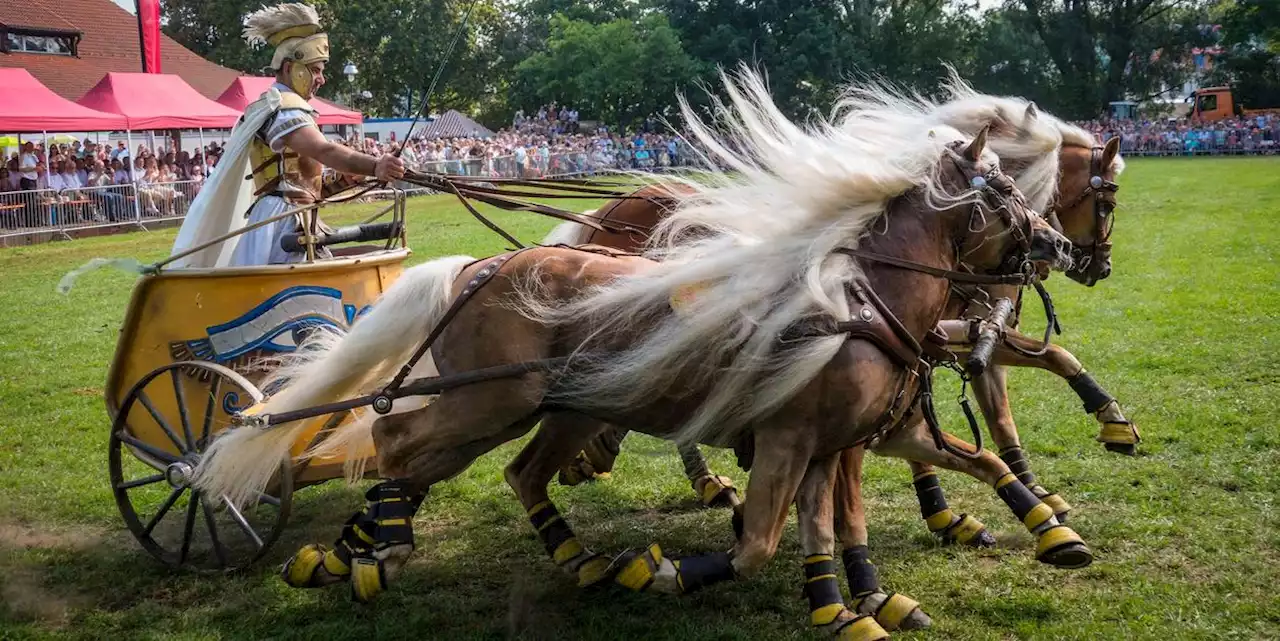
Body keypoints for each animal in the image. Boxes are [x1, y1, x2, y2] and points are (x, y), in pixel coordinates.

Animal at [189, 67, 1070, 637]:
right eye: (1005, 191)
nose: (1059, 245)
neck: (857, 299)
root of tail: (480, 267)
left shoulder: (831, 441)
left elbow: (838, 520)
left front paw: (853, 601)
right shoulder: (794, 437)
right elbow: (759, 542)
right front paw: (665, 571)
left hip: (560, 407)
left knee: (503, 470)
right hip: (488, 400)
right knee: (395, 440)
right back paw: (377, 550)